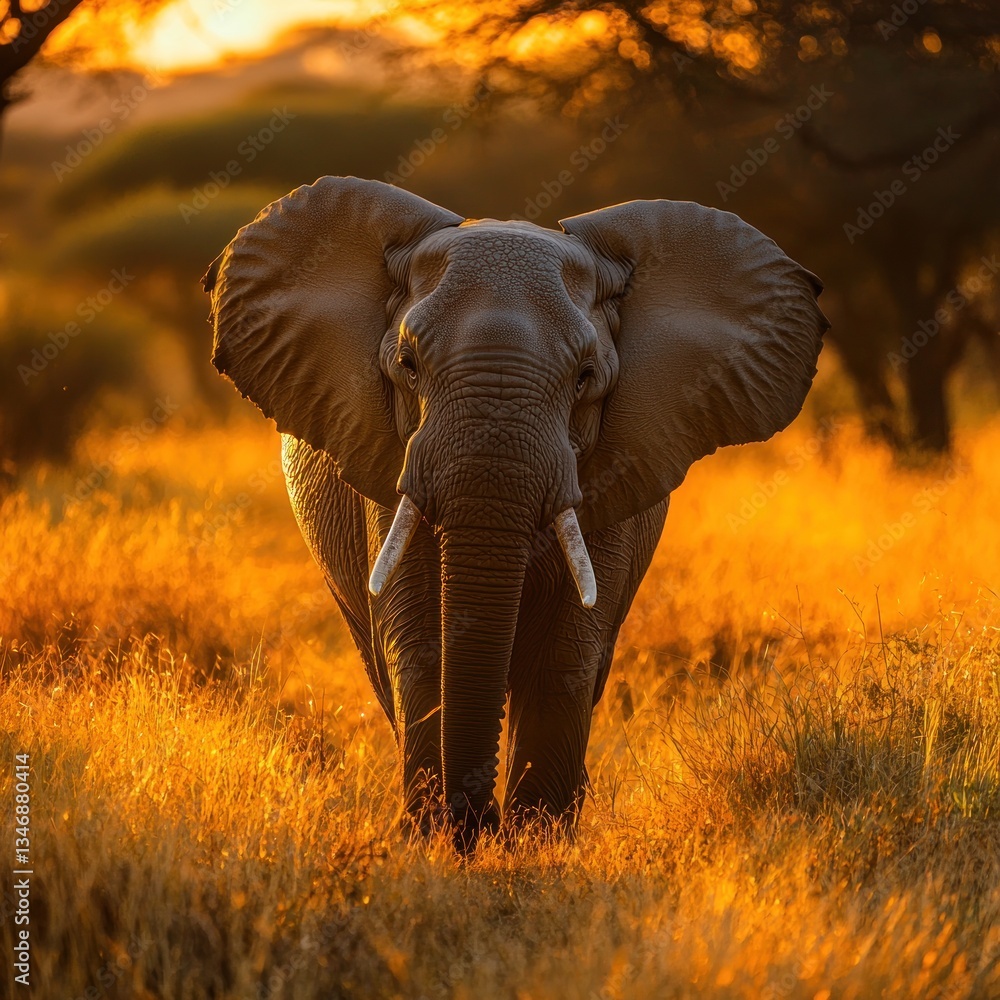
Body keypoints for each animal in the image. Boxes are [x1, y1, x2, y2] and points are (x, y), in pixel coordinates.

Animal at [203, 176, 827, 850]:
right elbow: (420, 644)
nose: (482, 824)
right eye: (408, 366)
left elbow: (566, 652)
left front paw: (537, 842)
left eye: (586, 377)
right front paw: (439, 839)